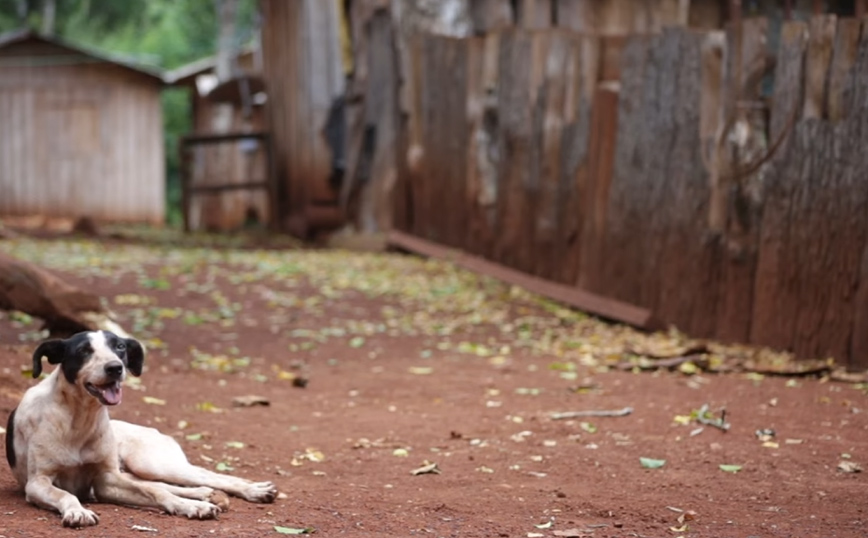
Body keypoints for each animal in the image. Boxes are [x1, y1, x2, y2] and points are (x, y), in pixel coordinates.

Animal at [5, 328, 276, 524]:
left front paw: (190, 507)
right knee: (166, 484)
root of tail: (156, 431)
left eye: (120, 347)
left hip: (151, 463)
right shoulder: (38, 483)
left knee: (202, 477)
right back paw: (206, 494)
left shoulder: (106, 480)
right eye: (83, 350)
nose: (115, 367)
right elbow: (66, 493)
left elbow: (157, 494)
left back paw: (251, 490)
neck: (79, 418)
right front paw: (77, 511)